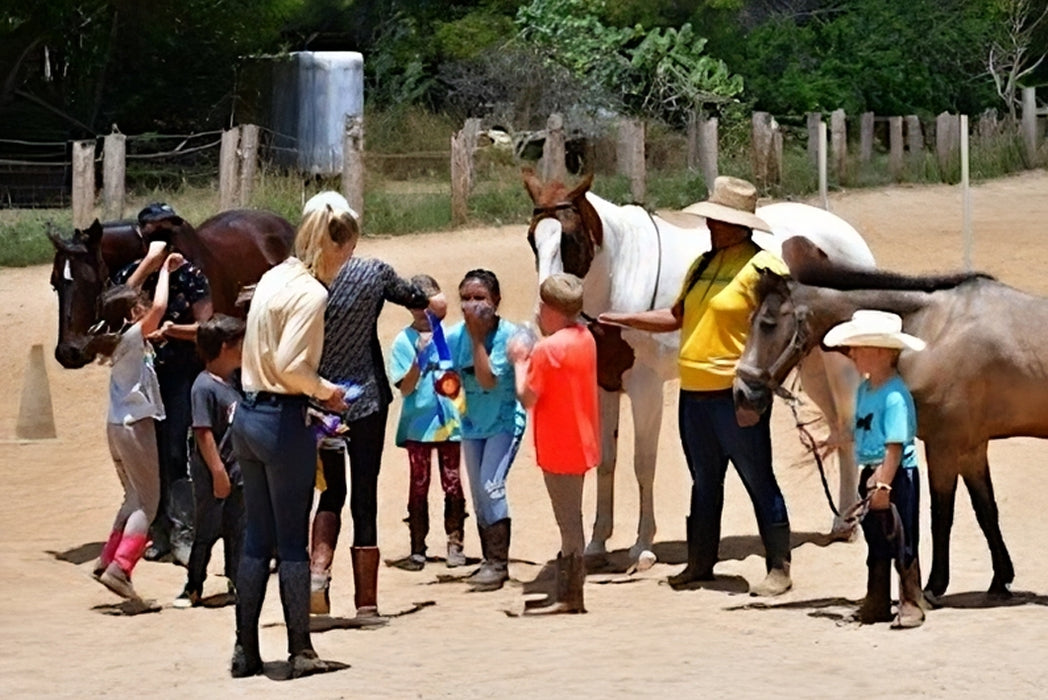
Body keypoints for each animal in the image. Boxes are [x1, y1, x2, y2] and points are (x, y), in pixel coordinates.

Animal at [524, 167, 876, 561]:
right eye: (532, 240)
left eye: (569, 239)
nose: (544, 314)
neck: (623, 271)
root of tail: (845, 233)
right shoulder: (605, 385)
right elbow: (606, 462)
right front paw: (597, 544)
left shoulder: (645, 389)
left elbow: (643, 464)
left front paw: (642, 548)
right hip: (811, 366)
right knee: (837, 431)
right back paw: (841, 521)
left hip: (839, 365)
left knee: (848, 429)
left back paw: (848, 525)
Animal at [729, 247, 1031, 603]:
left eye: (767, 324)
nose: (741, 394)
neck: (936, 328)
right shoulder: (971, 446)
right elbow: (986, 510)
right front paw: (1000, 581)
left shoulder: (945, 444)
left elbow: (941, 515)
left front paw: (934, 587)